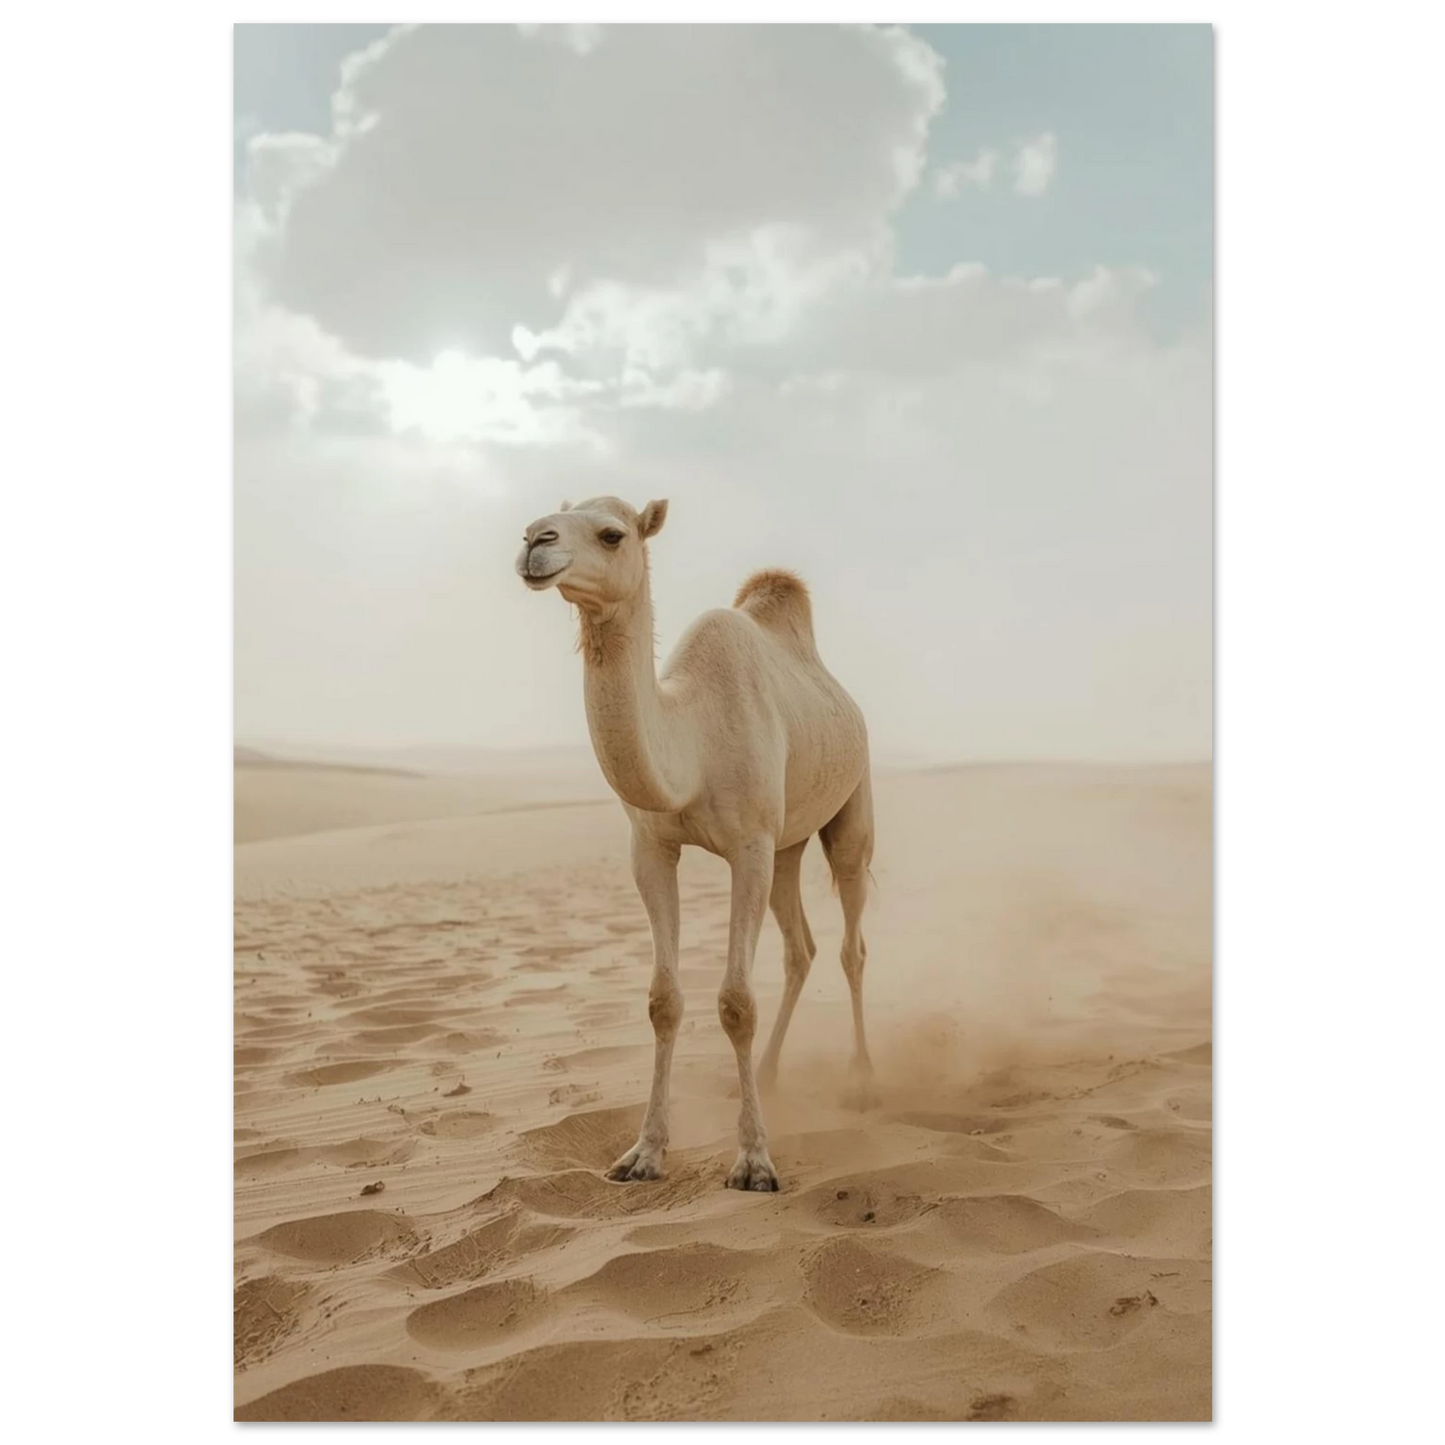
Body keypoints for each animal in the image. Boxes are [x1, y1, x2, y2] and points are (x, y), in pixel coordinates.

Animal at [515, 496, 877, 1192]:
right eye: (545, 518)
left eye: (612, 534)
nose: (533, 543)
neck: (694, 740)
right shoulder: (652, 848)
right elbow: (664, 1000)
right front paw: (643, 1154)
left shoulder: (750, 846)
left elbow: (736, 1002)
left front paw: (755, 1161)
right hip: (787, 845)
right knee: (801, 948)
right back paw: (767, 1073)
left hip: (851, 809)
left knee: (852, 944)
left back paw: (862, 1077)